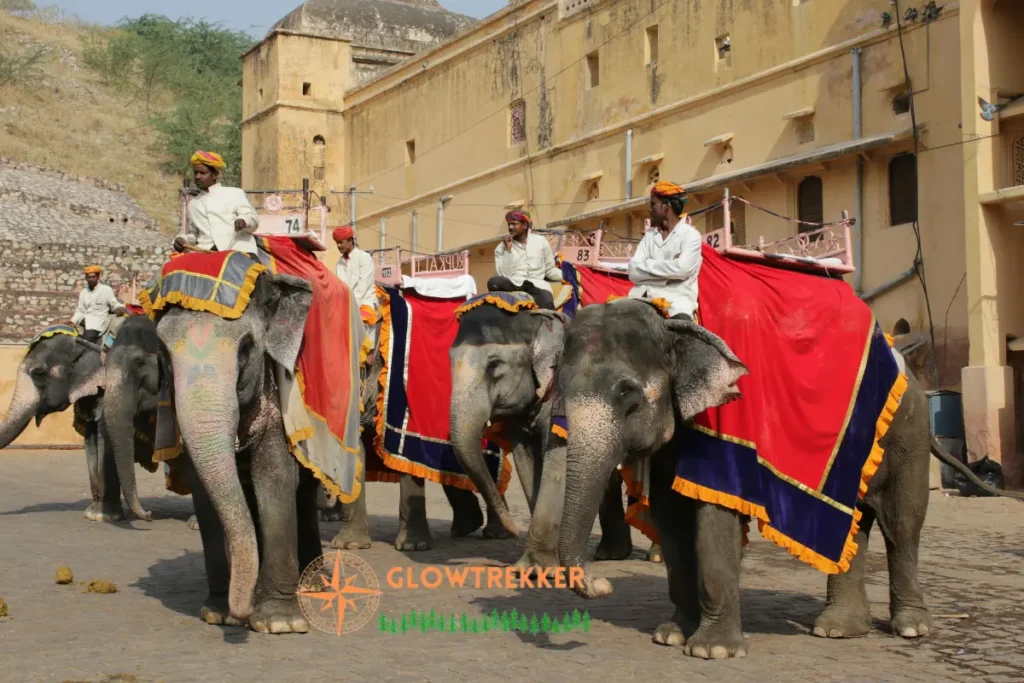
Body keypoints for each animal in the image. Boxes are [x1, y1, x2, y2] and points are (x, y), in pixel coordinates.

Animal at [450, 301, 663, 569]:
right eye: (449, 359)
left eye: (494, 365)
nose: (513, 531)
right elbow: (527, 463)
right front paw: (537, 565)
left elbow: (558, 462)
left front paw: (538, 568)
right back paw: (611, 555)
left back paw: (655, 556)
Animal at [557, 301, 1024, 663]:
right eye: (559, 387)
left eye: (627, 393)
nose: (601, 583)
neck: (675, 324)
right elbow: (672, 520)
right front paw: (670, 635)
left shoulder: (727, 423)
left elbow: (714, 517)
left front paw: (712, 651)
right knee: (854, 527)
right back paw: (839, 629)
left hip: (908, 432)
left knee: (902, 527)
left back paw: (910, 628)